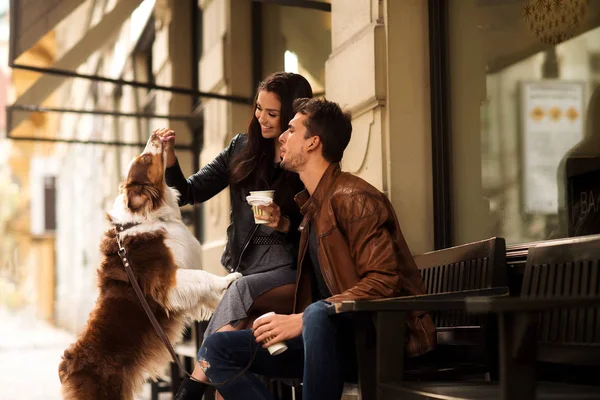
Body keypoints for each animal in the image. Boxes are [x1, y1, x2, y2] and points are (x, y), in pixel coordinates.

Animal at [58, 132, 240, 400]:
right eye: (144, 158)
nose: (156, 134)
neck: (144, 217)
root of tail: (67, 364)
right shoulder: (166, 280)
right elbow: (202, 276)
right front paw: (228, 280)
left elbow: (205, 292)